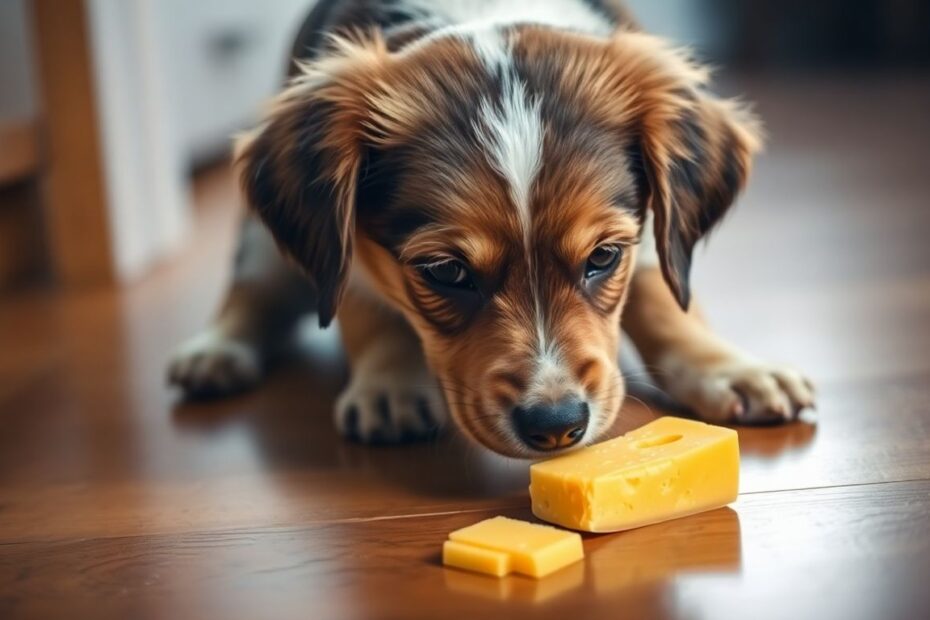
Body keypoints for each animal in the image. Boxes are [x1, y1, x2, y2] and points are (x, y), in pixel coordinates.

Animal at [167, 0, 812, 456]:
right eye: (446, 272)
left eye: (603, 257)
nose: (556, 425)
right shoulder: (347, 248)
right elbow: (364, 308)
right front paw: (388, 384)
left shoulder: (652, 233)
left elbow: (666, 301)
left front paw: (731, 369)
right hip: (263, 242)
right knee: (255, 290)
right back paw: (215, 352)